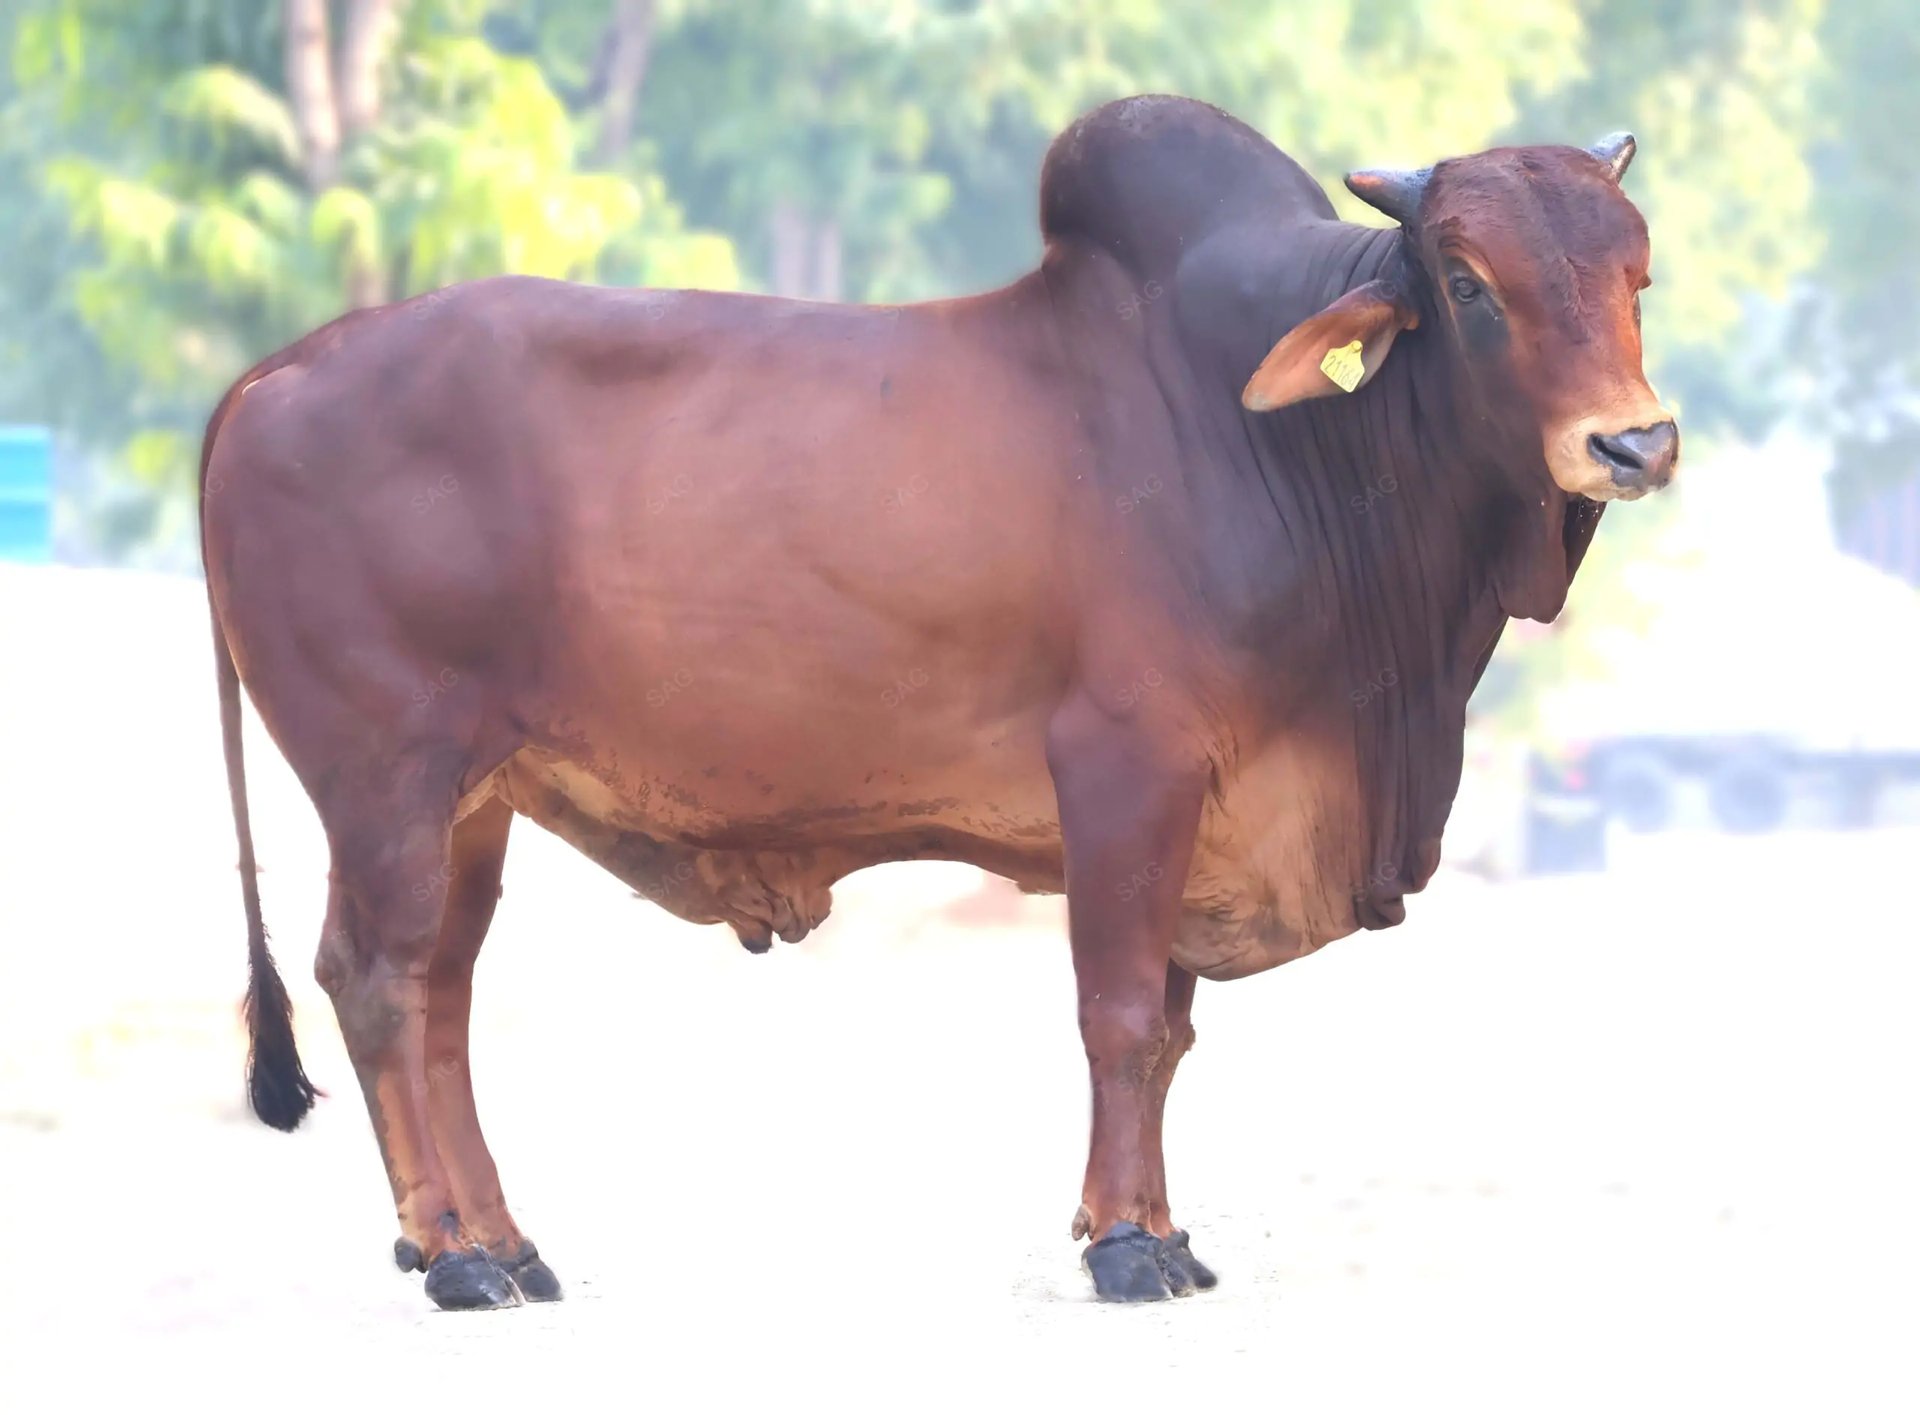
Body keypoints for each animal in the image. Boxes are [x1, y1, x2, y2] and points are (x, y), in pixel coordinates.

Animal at [201, 95, 1676, 1310]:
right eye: (1469, 282)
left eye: (1636, 273)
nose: (1634, 442)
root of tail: (274, 371)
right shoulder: (1127, 769)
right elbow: (1122, 1015)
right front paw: (1121, 1243)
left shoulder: (1197, 813)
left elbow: (1171, 1034)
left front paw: (1167, 1231)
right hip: (384, 780)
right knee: (375, 981)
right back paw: (448, 1251)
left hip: (476, 800)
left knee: (444, 997)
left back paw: (503, 1241)